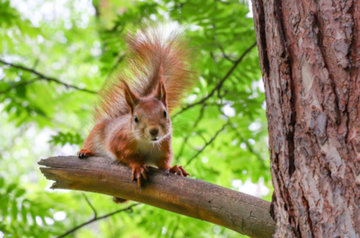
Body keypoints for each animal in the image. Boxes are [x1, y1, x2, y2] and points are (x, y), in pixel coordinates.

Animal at [76, 26, 194, 188]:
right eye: (136, 118)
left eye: (165, 113)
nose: (154, 131)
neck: (147, 143)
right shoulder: (119, 141)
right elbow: (127, 156)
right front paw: (138, 166)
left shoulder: (163, 148)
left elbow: (163, 164)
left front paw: (174, 168)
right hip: (95, 136)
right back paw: (86, 151)